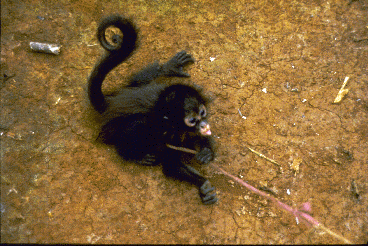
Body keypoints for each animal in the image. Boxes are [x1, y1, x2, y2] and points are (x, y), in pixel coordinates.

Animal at [87, 14, 217, 205]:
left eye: (202, 113)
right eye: (192, 120)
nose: (203, 124)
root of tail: (111, 103)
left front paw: (206, 152)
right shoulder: (170, 134)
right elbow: (171, 166)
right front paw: (203, 186)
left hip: (136, 85)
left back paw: (167, 68)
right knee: (139, 124)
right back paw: (132, 155)